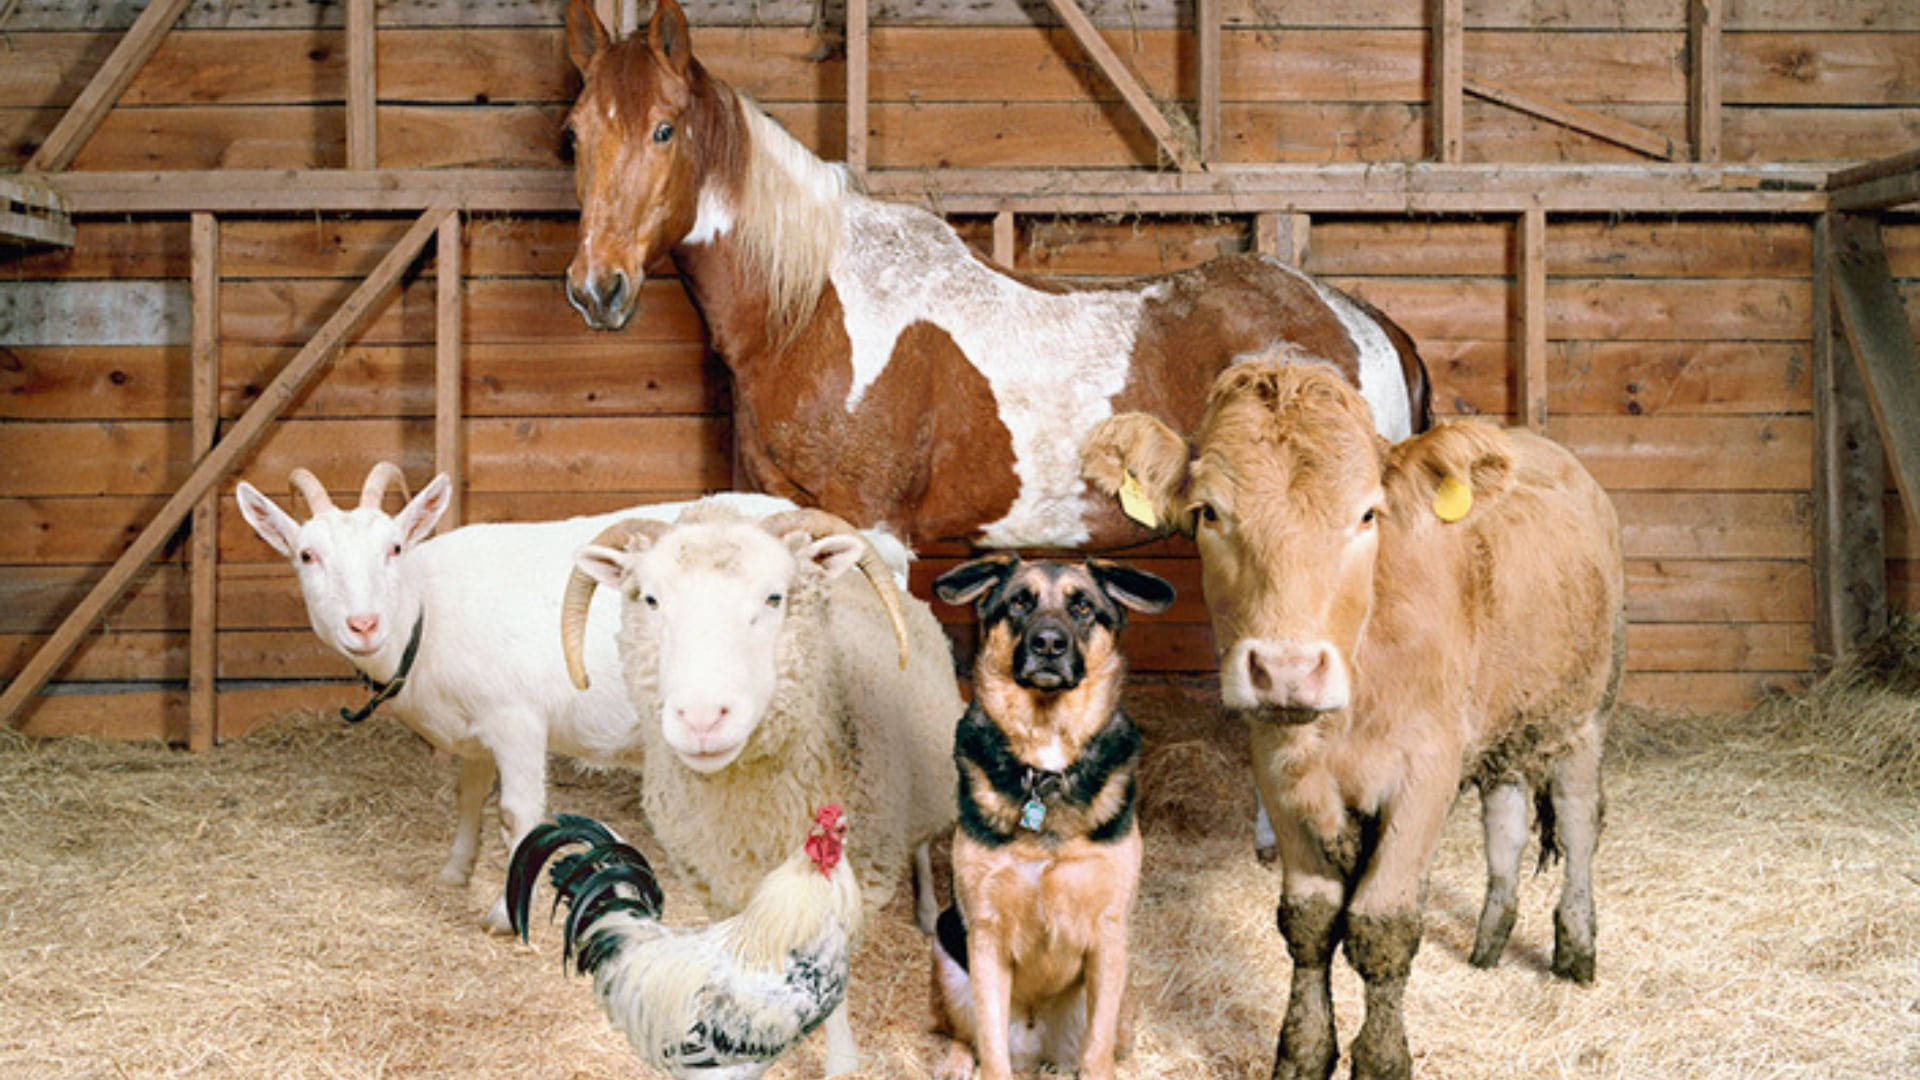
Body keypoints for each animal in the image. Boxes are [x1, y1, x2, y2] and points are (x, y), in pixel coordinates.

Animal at [232, 457, 817, 930]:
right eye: (307, 556)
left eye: (393, 549)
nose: (363, 624)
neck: (427, 610)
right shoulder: (472, 729)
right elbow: (468, 795)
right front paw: (455, 872)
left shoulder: (516, 720)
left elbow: (517, 813)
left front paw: (502, 915)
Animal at [556, 0, 1428, 545]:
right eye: (573, 135)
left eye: (665, 129)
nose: (597, 288)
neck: (814, 312)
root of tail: (1363, 323)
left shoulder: (874, 530)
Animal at [564, 503, 967, 1068]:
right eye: (650, 598)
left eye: (775, 597)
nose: (701, 719)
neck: (753, 818)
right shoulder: (717, 885)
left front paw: (841, 1062)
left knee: (924, 846)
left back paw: (928, 910)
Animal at [925, 553, 1175, 1076]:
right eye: (1020, 601)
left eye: (1082, 607)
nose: (1048, 644)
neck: (1045, 768)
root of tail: (1036, 1042)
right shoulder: (985, 934)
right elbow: (991, 1051)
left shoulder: (1109, 933)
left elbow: (1096, 1052)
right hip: (946, 951)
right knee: (966, 1034)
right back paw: (956, 1061)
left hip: (1121, 1002)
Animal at [1082, 355, 1620, 1076]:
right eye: (1209, 513)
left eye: (1367, 513)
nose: (1286, 668)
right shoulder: (1279, 770)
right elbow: (1310, 921)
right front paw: (1304, 1052)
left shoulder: (1426, 771)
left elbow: (1380, 922)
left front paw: (1382, 1058)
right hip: (1503, 725)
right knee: (1504, 818)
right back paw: (1487, 942)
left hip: (1586, 714)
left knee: (1581, 820)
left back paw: (1577, 948)